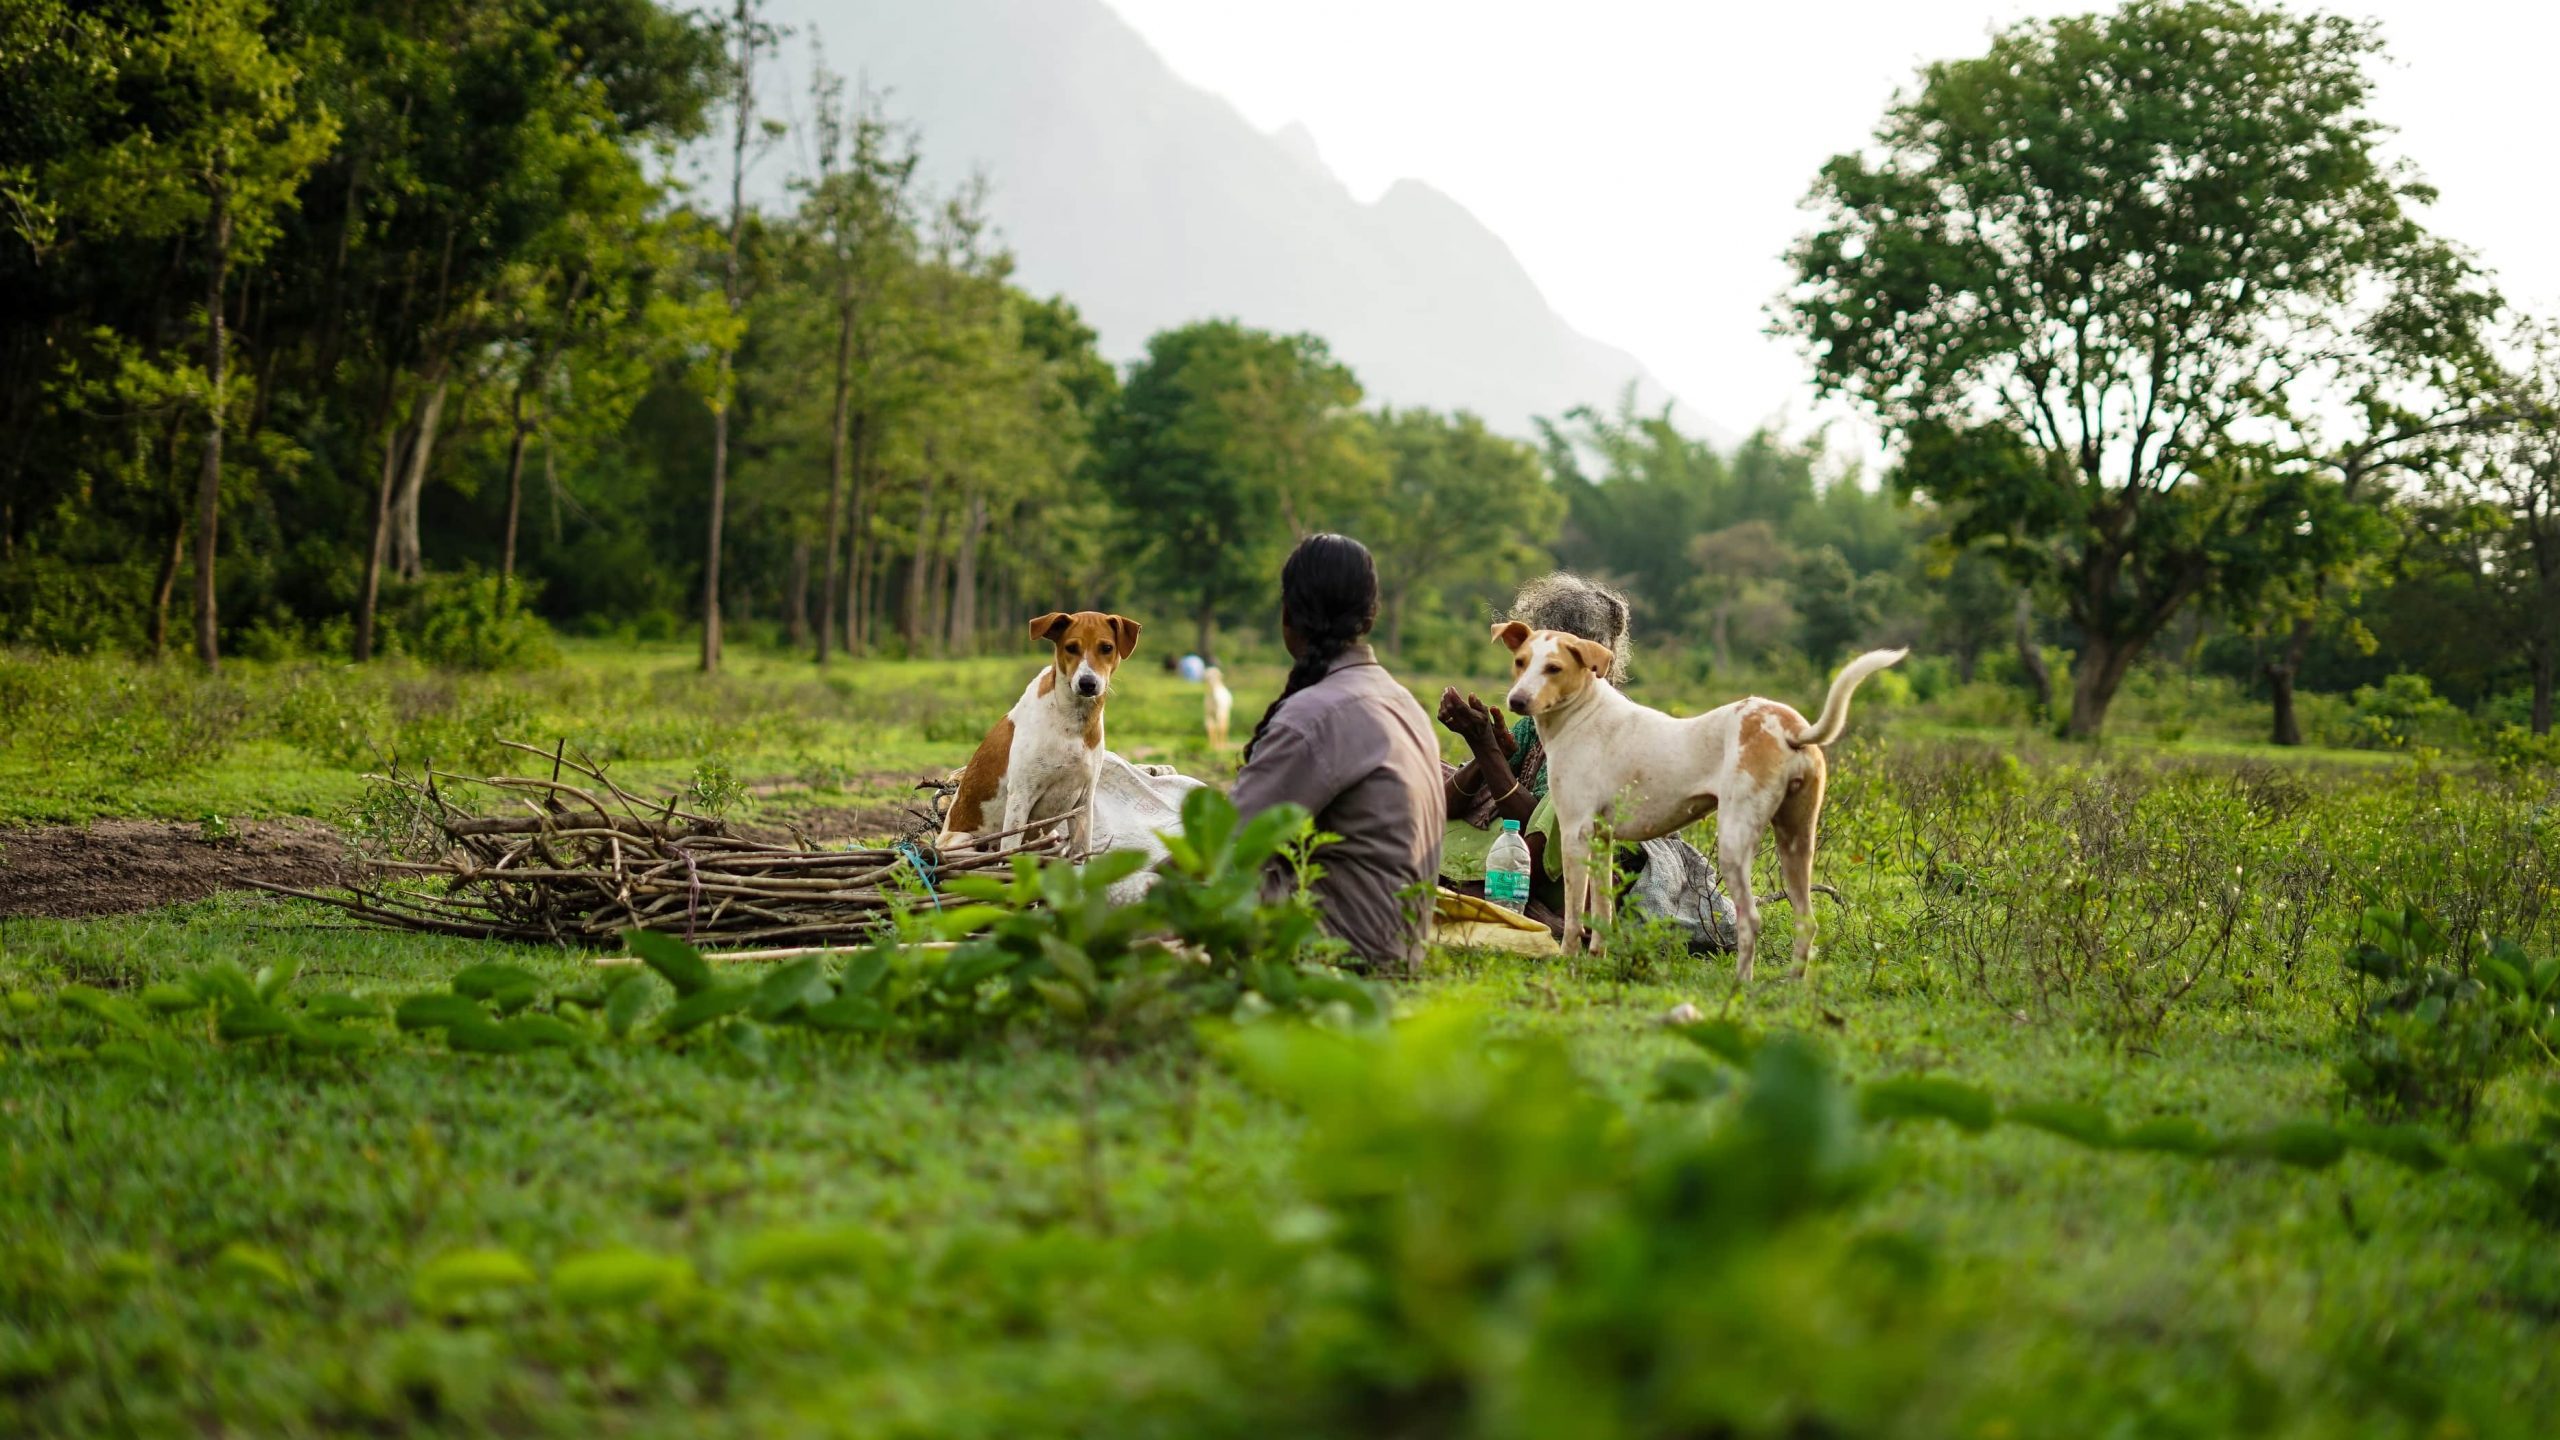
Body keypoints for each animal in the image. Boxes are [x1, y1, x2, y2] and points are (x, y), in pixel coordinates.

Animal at [942, 604, 1141, 850]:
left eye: (1106, 648)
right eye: (1071, 648)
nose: (1087, 683)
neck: (1071, 723)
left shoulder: (1084, 803)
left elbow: (1083, 852)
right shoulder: (1021, 796)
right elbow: (1011, 850)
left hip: (1052, 837)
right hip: (966, 841)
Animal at [1495, 622, 1904, 978]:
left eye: (1553, 668)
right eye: (1520, 662)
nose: (1517, 701)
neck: (1582, 713)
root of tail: (1790, 727)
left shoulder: (1574, 833)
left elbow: (1575, 916)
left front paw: (1568, 964)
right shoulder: (1602, 838)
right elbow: (1602, 911)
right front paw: (1597, 961)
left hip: (1735, 842)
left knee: (1751, 920)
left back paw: (1741, 987)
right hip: (1797, 841)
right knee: (1807, 921)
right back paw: (1791, 989)